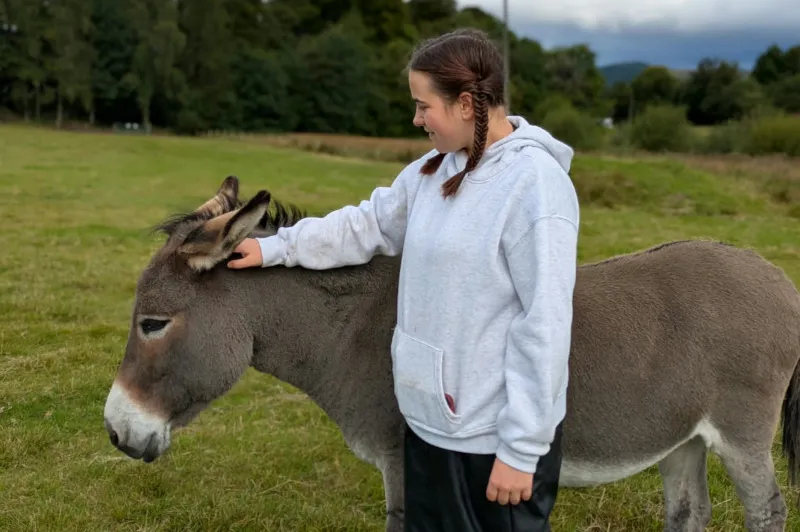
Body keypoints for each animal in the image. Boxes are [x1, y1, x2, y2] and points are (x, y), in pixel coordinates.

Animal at [104, 176, 800, 532]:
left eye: (153, 324)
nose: (114, 433)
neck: (353, 331)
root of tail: (777, 276)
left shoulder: (406, 462)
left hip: (741, 431)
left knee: (766, 511)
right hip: (682, 435)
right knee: (688, 512)